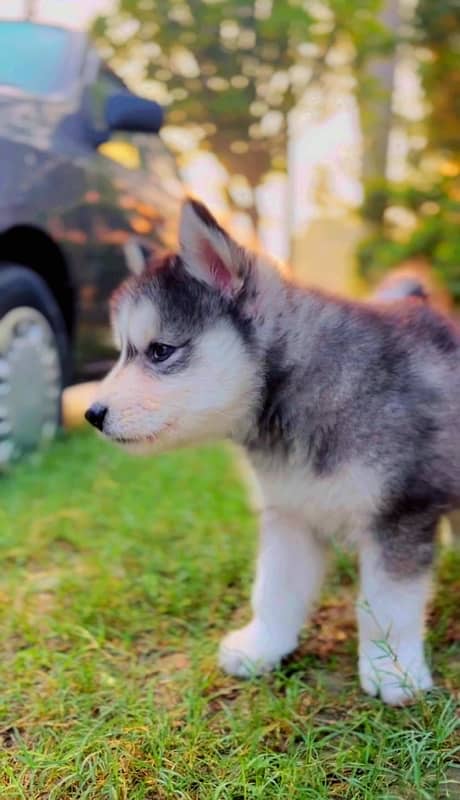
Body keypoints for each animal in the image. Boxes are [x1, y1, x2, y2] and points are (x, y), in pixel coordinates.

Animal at [86, 200, 460, 708]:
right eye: (124, 351)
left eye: (160, 350)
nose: (92, 413)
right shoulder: (290, 513)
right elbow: (275, 588)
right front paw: (263, 646)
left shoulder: (401, 512)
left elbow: (387, 603)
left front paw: (392, 669)